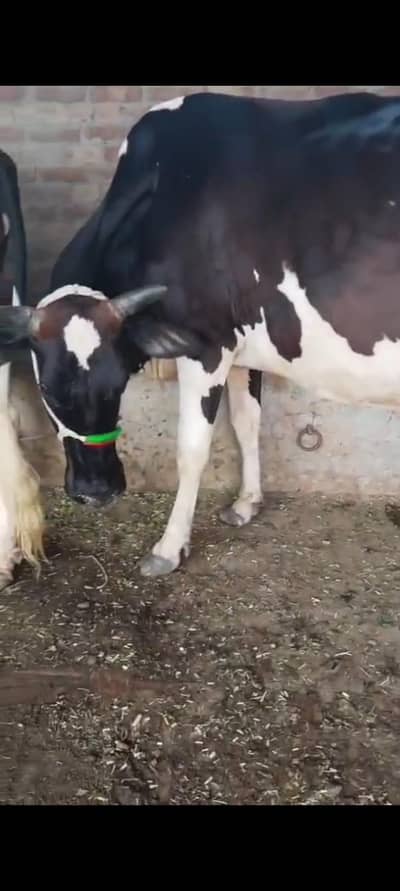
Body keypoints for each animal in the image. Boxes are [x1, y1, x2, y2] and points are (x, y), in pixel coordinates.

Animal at [1, 89, 400, 579]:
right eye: (49, 391)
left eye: (118, 384)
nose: (98, 491)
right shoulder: (243, 343)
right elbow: (247, 422)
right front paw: (246, 503)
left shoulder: (207, 344)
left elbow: (191, 449)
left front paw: (168, 548)